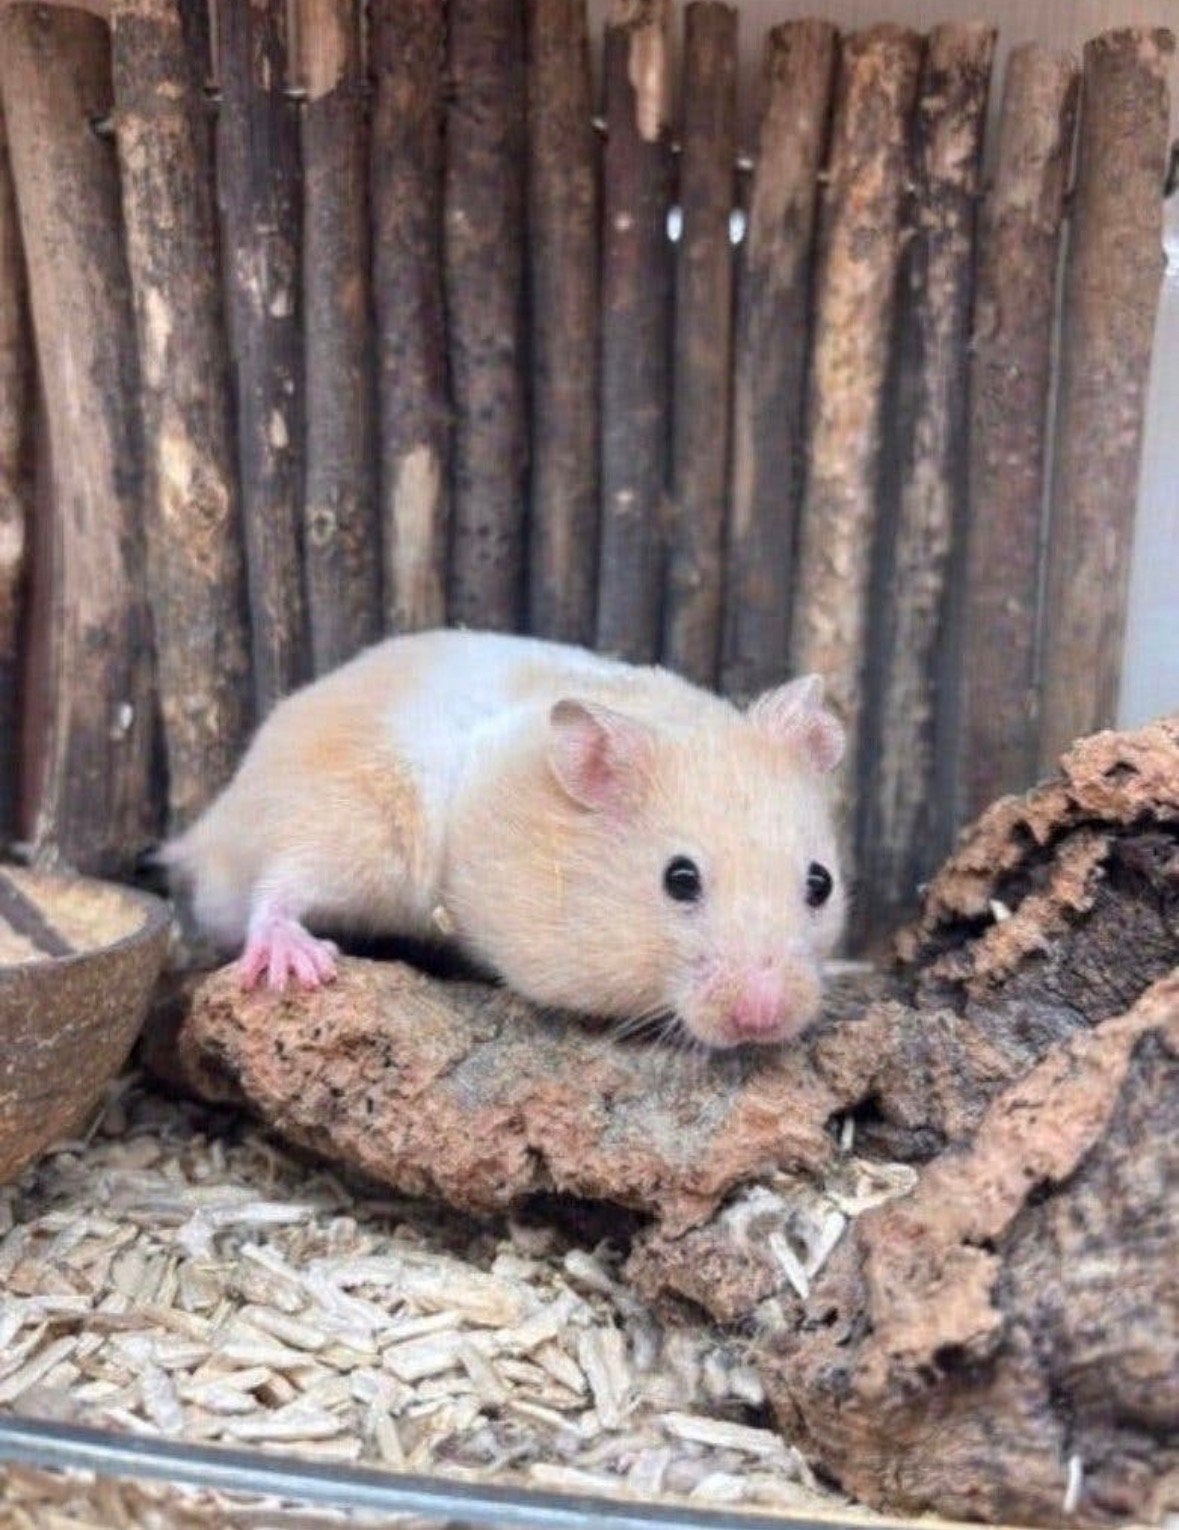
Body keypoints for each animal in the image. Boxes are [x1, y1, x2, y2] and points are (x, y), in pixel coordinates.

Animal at [165, 629, 847, 1050]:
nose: (764, 1019)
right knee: (276, 890)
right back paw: (297, 963)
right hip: (353, 828)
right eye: (679, 880)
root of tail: (209, 828)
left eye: (822, 883)